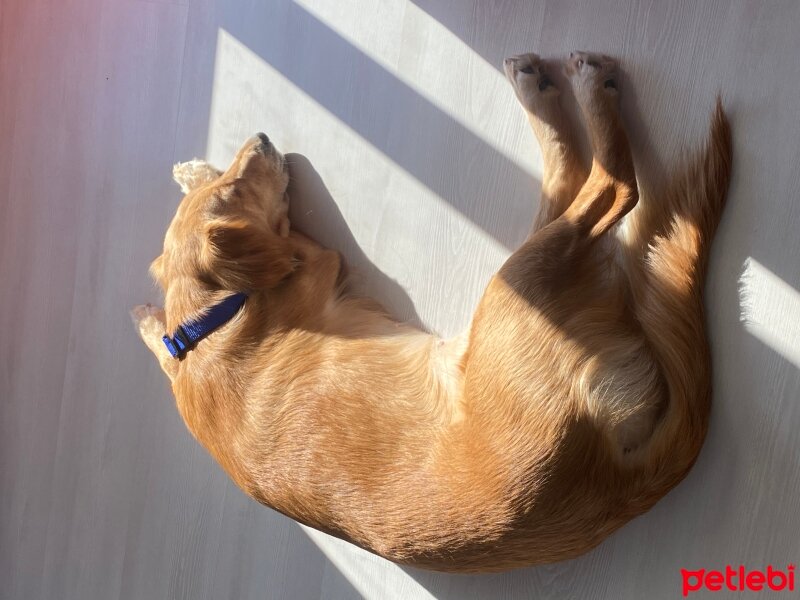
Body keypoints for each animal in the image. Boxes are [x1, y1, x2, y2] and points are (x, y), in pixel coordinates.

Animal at [131, 52, 732, 572]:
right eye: (236, 185)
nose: (260, 137)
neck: (208, 327)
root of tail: (615, 487)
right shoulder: (318, 259)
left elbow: (156, 331)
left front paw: (188, 181)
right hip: (516, 289)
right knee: (612, 187)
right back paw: (573, 88)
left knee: (578, 188)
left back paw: (541, 91)